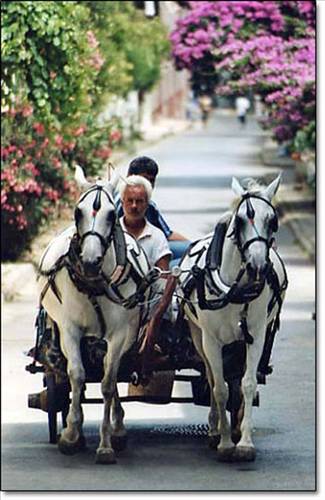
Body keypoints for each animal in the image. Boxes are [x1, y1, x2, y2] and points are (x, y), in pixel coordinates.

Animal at [37, 166, 154, 462]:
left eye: (111, 214)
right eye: (78, 211)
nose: (90, 261)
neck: (93, 282)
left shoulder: (120, 334)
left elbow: (108, 383)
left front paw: (106, 443)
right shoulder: (69, 330)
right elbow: (77, 375)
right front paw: (71, 433)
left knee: (111, 371)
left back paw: (118, 428)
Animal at [178, 175, 288, 460]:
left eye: (272, 220)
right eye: (239, 221)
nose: (258, 265)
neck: (235, 289)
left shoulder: (256, 335)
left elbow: (247, 385)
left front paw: (245, 443)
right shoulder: (211, 341)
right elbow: (219, 388)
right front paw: (225, 442)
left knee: (236, 381)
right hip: (198, 337)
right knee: (211, 376)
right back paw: (215, 429)